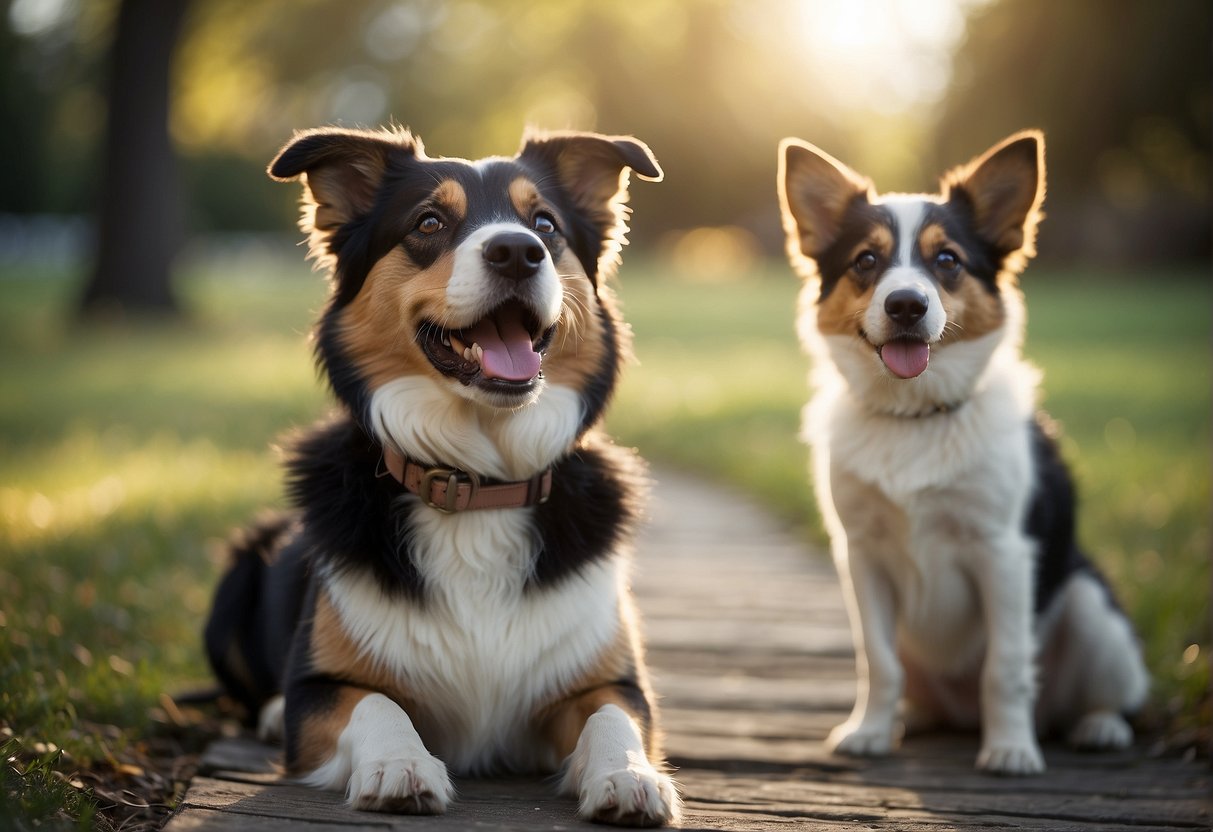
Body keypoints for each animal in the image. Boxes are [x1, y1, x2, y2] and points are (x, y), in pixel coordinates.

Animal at [203, 125, 679, 829]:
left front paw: (629, 777)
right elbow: (375, 703)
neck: (476, 486)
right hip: (237, 577)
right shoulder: (321, 690)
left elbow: (612, 716)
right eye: (429, 222)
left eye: (545, 224)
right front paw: (399, 765)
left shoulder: (609, 679)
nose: (518, 252)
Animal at [776, 128, 1145, 776]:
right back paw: (912, 716)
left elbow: (1006, 666)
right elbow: (877, 660)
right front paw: (869, 731)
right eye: (865, 261)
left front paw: (1011, 748)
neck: (915, 417)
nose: (905, 305)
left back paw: (1097, 727)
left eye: (947, 260)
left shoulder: (1003, 554)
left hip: (1092, 608)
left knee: (1103, 697)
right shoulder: (862, 555)